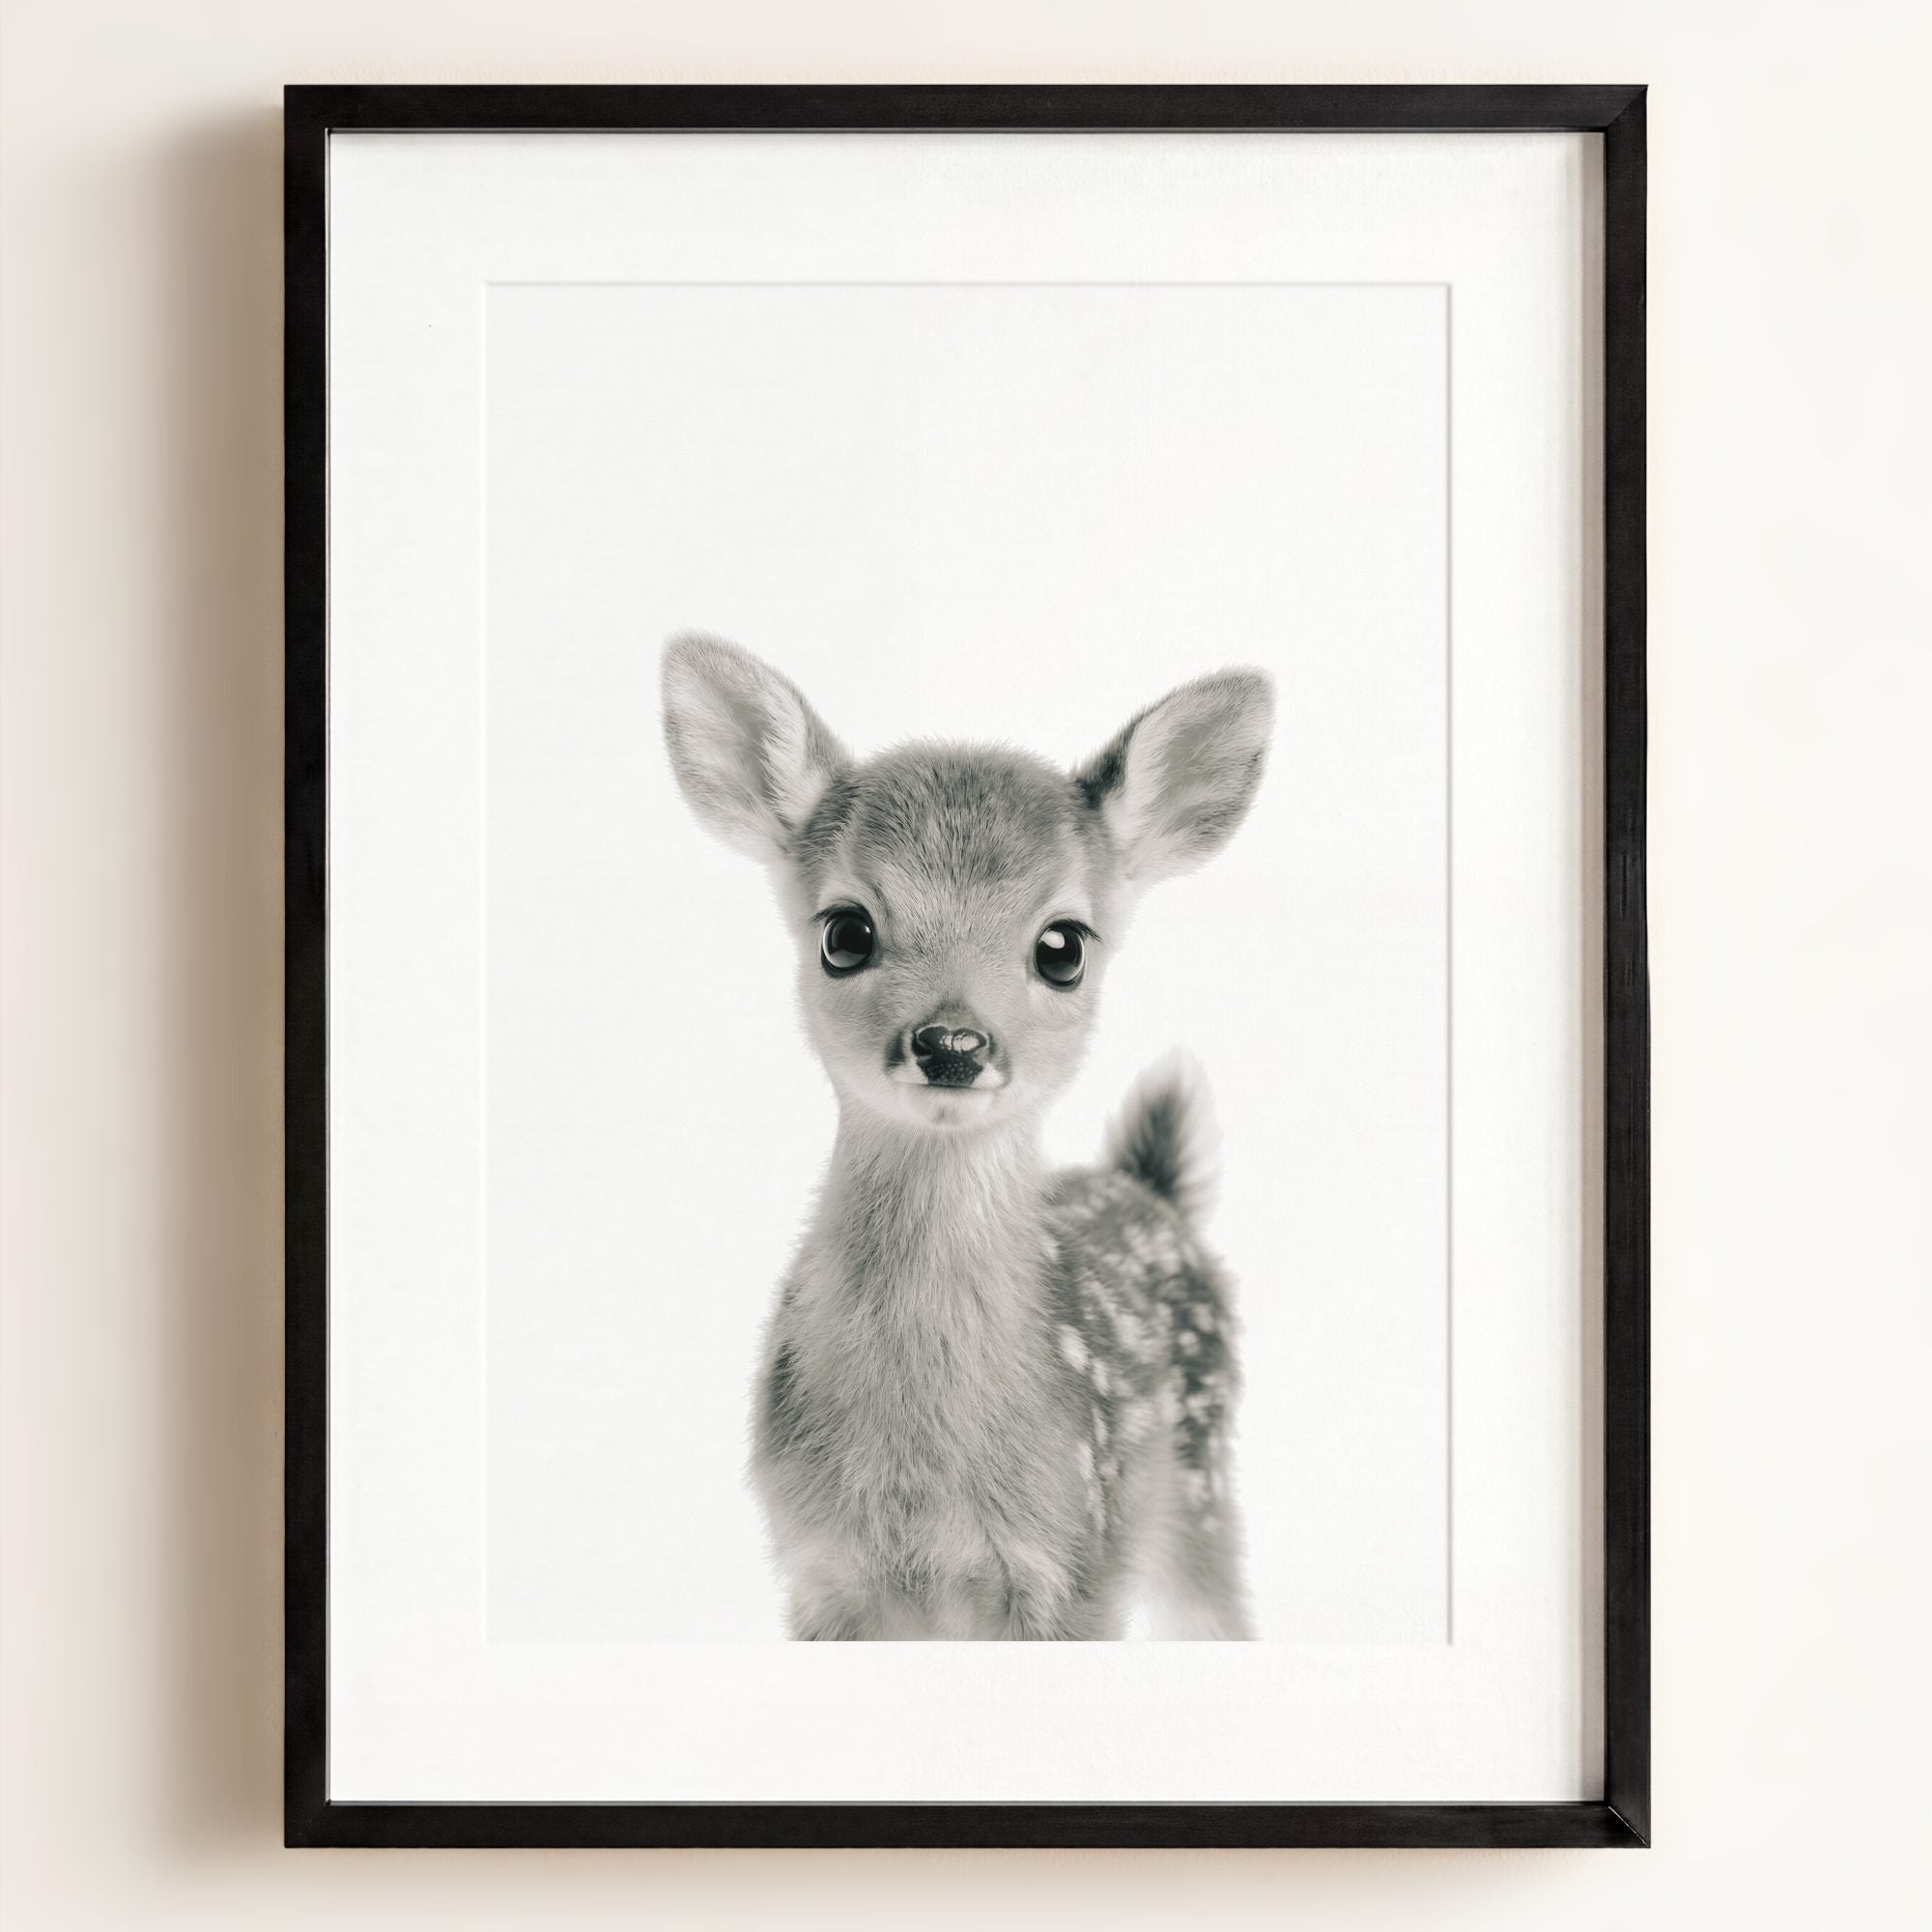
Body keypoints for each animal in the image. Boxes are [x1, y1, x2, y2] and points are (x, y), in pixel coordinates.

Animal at [661, 635, 1273, 1639]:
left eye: (1063, 946)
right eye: (845, 931)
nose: (952, 1044)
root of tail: (1151, 1188)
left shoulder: (1077, 1562)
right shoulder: (819, 1571)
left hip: (1201, 1488)